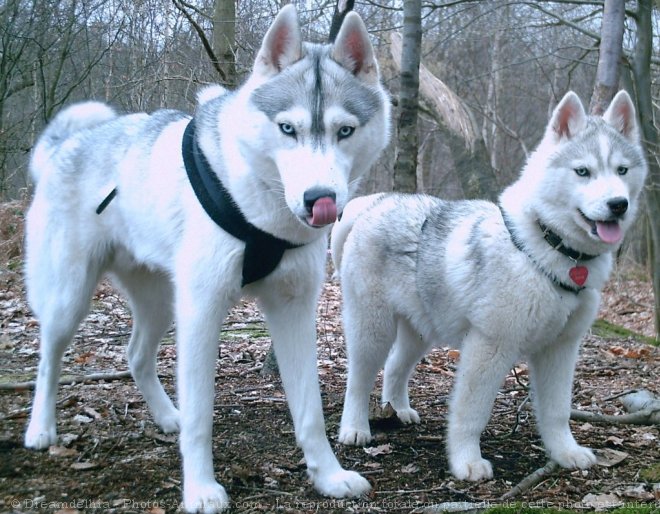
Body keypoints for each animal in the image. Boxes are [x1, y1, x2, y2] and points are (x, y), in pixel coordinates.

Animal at [23, 6, 390, 510]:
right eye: (288, 129)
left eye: (345, 131)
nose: (321, 199)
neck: (260, 210)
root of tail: (65, 146)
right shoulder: (202, 311)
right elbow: (202, 417)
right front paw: (199, 488)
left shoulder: (294, 312)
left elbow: (311, 412)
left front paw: (328, 476)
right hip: (70, 300)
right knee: (48, 359)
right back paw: (41, 428)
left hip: (160, 304)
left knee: (136, 356)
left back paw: (166, 417)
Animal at [336, 91, 644, 480]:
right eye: (583, 172)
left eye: (622, 170)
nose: (618, 205)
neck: (546, 248)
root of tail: (376, 203)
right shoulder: (490, 346)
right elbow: (472, 412)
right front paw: (466, 460)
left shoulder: (561, 349)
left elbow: (557, 411)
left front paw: (565, 452)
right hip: (372, 328)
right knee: (358, 380)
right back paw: (354, 428)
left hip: (420, 331)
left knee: (394, 367)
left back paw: (398, 410)